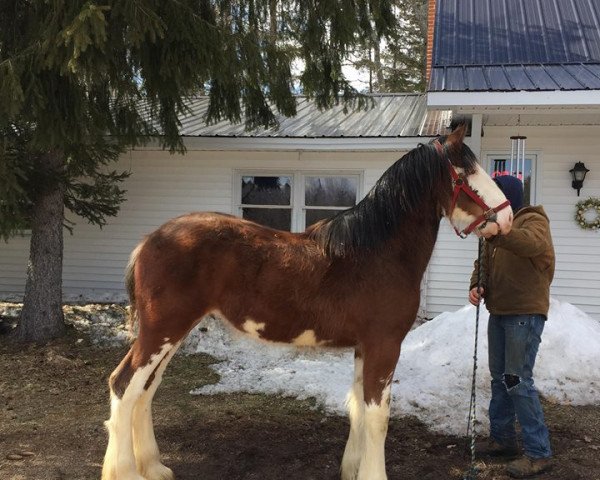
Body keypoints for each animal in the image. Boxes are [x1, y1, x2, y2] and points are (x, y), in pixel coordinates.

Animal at [102, 125, 510, 480]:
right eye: (466, 173)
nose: (506, 217)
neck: (377, 253)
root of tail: (149, 240)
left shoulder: (365, 347)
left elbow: (358, 408)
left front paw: (352, 469)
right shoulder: (384, 345)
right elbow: (378, 418)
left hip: (171, 332)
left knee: (145, 389)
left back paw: (154, 467)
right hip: (163, 330)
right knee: (125, 386)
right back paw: (128, 472)